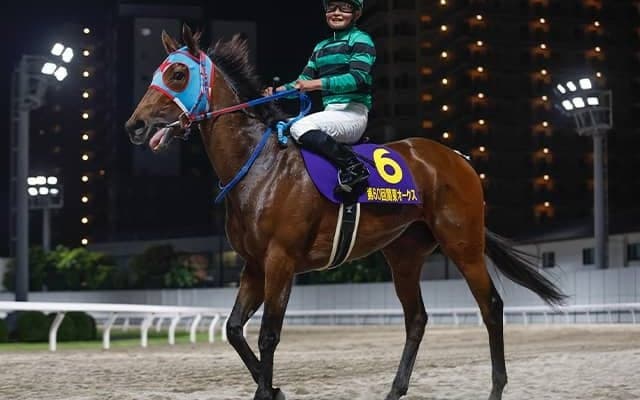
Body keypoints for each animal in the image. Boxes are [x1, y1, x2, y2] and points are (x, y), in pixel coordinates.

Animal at [125, 25, 565, 400]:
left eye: (178, 73)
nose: (136, 125)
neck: (260, 166)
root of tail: (459, 158)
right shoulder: (253, 264)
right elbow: (235, 330)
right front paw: (275, 389)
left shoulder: (281, 260)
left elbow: (269, 334)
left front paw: (268, 391)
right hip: (404, 254)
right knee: (417, 318)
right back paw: (395, 390)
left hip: (462, 242)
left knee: (491, 306)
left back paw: (496, 387)